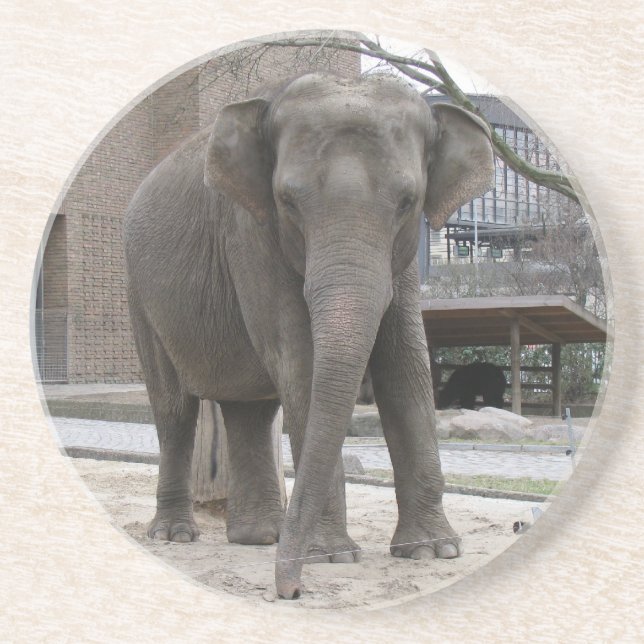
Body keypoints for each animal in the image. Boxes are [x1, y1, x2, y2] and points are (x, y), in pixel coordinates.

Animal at [123, 71, 494, 599]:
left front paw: (432, 551)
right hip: (140, 297)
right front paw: (333, 557)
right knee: (175, 410)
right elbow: (303, 363)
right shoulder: (250, 235)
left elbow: (405, 366)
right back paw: (176, 535)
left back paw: (261, 538)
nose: (290, 591)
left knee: (250, 410)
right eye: (288, 202)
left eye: (408, 203)